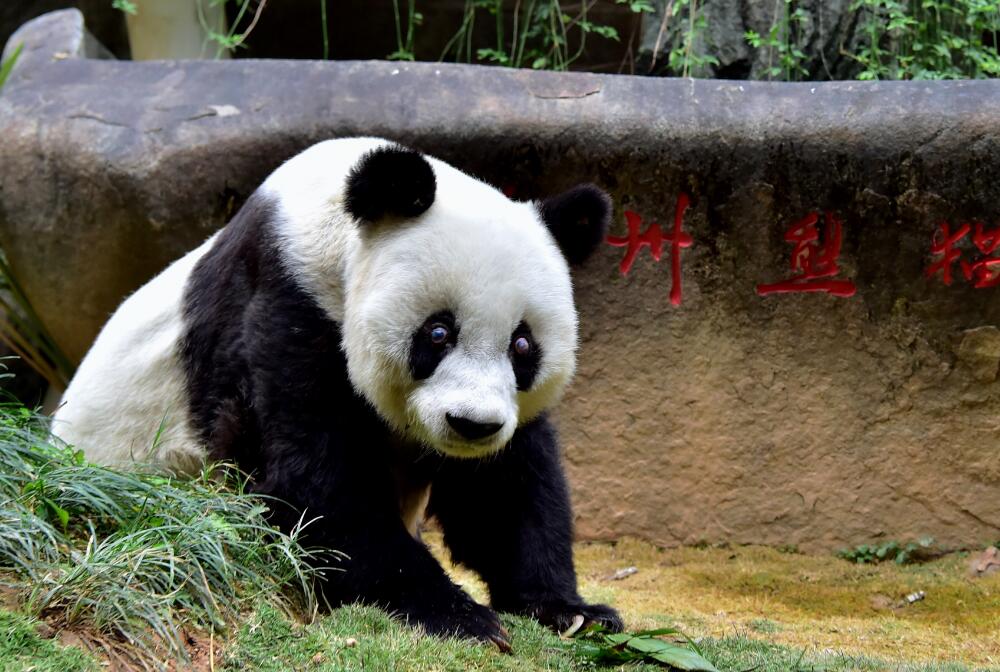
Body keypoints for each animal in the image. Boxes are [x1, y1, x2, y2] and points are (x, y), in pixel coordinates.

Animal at [53, 137, 623, 648]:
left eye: (523, 345)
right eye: (438, 333)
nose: (472, 425)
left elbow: (502, 489)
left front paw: (572, 611)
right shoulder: (286, 307)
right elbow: (313, 481)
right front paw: (459, 616)